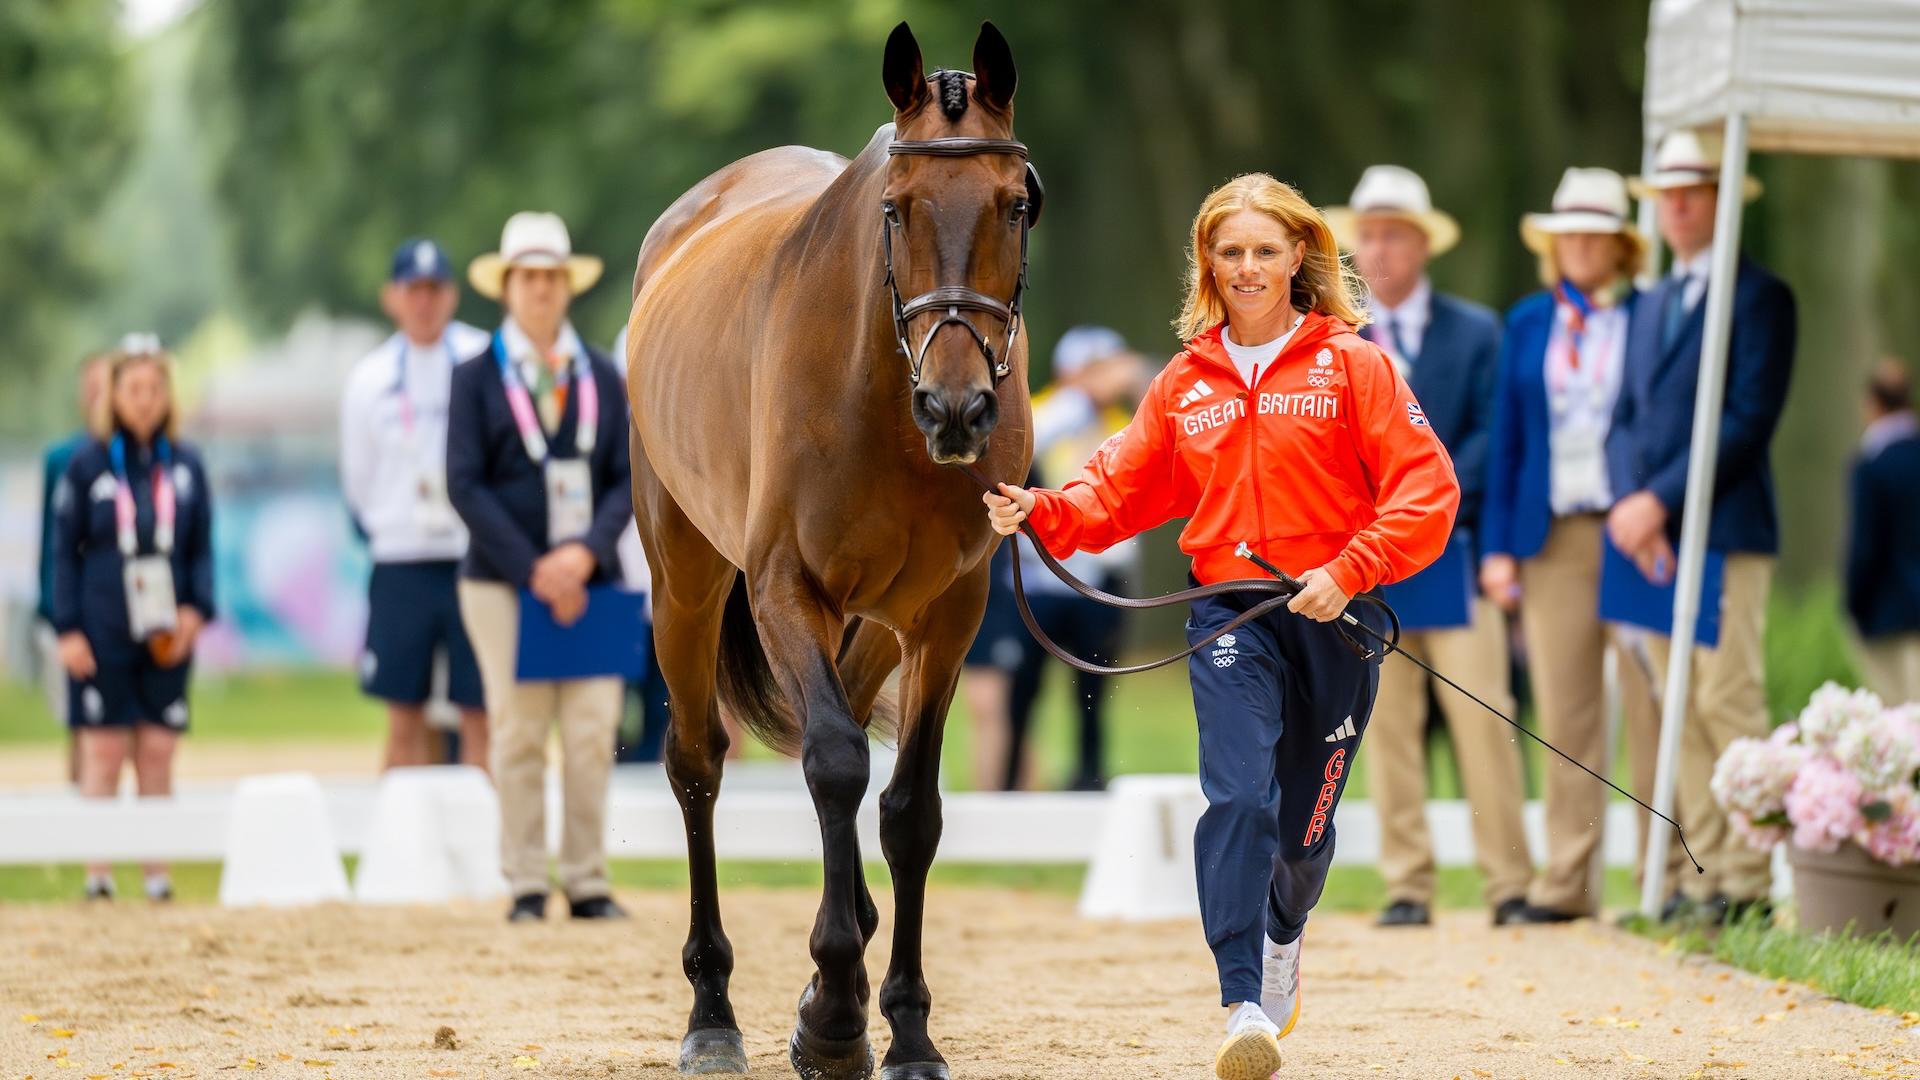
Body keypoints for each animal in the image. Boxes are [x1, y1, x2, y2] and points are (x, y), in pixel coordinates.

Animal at [625, 18, 1036, 1076]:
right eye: (894, 210)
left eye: (1017, 204)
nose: (957, 409)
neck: (881, 397)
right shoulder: (785, 591)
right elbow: (836, 766)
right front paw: (840, 1016)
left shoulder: (946, 615)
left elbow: (908, 809)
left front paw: (906, 1029)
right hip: (685, 585)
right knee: (699, 764)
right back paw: (713, 1012)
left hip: (877, 626)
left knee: (843, 729)